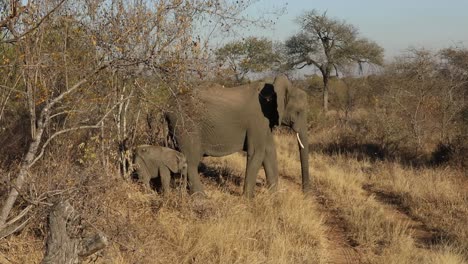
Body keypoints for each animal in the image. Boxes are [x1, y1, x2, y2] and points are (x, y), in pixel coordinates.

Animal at [165, 74, 310, 198]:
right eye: (298, 112)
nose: (305, 193)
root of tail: (166, 109)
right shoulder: (257, 119)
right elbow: (257, 152)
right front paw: (248, 200)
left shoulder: (265, 122)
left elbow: (269, 152)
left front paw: (275, 197)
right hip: (186, 125)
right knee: (191, 161)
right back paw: (201, 197)